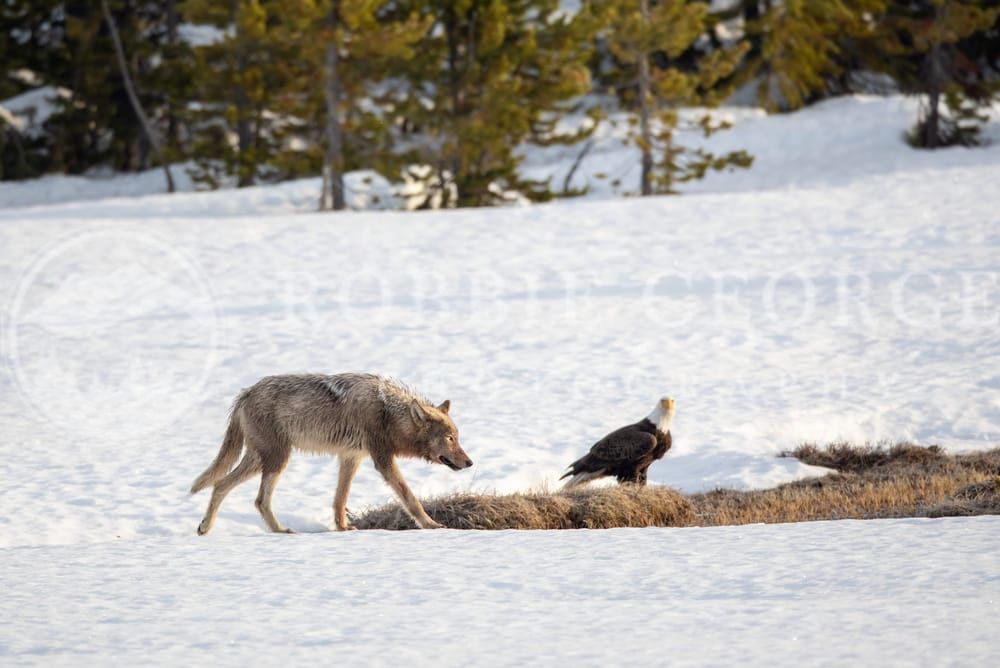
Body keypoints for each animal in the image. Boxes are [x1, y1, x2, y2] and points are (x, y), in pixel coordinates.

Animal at [191, 373, 472, 533]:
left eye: (457, 437)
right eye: (450, 438)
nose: (470, 462)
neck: (387, 413)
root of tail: (245, 393)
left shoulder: (351, 458)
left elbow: (339, 499)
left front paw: (343, 528)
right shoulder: (382, 460)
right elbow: (410, 497)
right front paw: (431, 525)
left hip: (260, 460)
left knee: (220, 484)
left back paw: (206, 527)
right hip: (276, 460)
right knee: (259, 499)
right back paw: (280, 531)